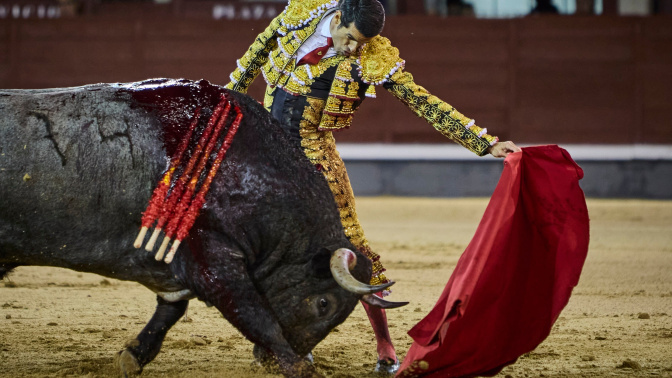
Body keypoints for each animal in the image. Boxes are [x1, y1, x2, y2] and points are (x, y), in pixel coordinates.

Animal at [0, 78, 402, 376]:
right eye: (323, 303)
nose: (267, 361)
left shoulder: (175, 263)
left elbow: (170, 310)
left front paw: (133, 356)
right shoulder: (214, 260)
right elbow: (255, 314)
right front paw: (297, 367)